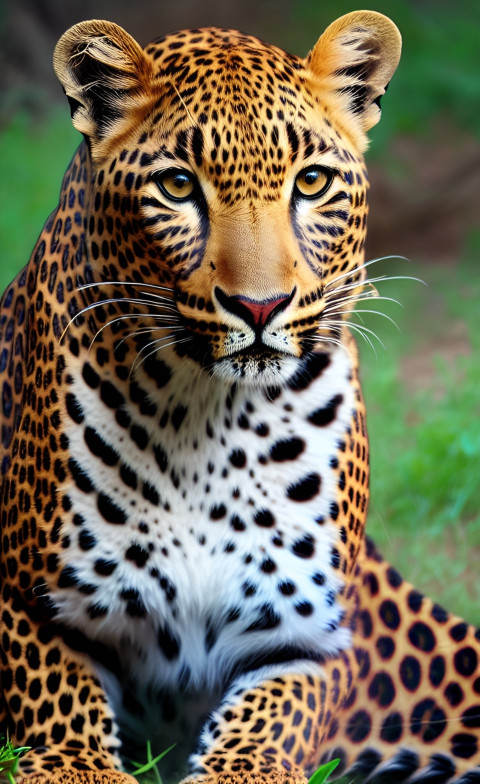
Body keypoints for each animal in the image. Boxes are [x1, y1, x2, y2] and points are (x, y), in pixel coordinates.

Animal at [1, 10, 479, 784]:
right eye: (176, 186)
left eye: (311, 182)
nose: (260, 306)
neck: (206, 415)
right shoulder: (27, 606)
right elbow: (63, 719)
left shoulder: (304, 638)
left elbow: (263, 734)